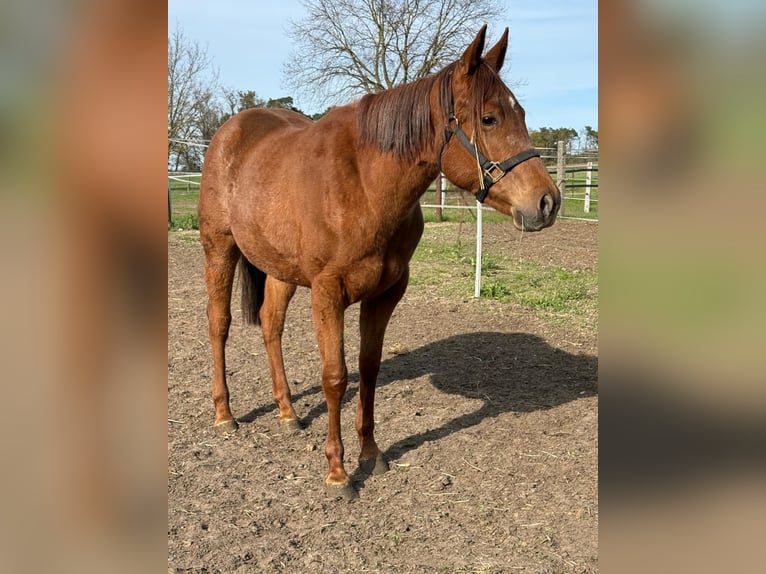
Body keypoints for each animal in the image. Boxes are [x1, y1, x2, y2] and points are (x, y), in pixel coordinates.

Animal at [198, 26, 560, 499]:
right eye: (489, 119)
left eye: (520, 113)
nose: (548, 202)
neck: (365, 185)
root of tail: (230, 132)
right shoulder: (328, 294)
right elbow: (336, 376)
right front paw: (338, 472)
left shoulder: (385, 293)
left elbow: (368, 370)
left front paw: (370, 453)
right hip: (218, 248)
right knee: (219, 324)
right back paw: (225, 414)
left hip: (280, 269)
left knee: (270, 324)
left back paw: (287, 412)